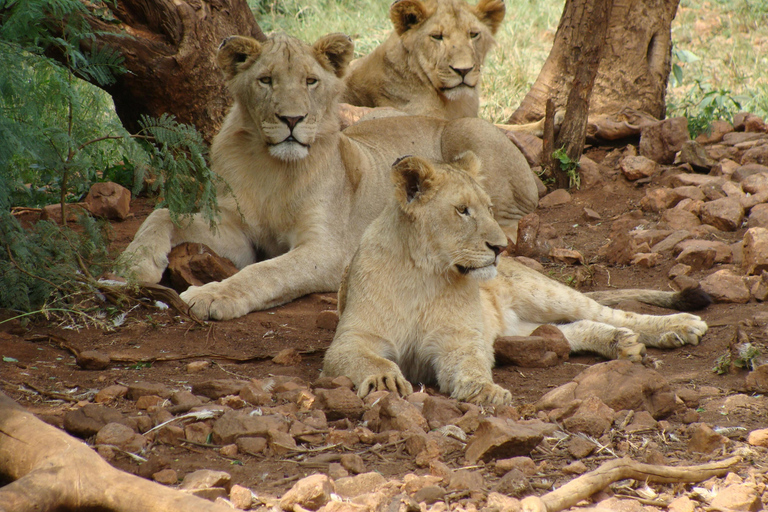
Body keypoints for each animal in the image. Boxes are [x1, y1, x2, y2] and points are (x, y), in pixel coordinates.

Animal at [120, 31, 540, 320]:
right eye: (266, 80)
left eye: (311, 81)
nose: (292, 120)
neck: (272, 168)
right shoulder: (235, 233)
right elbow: (162, 215)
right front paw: (133, 265)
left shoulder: (327, 250)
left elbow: (266, 272)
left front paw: (212, 296)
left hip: (466, 133)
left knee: (513, 222)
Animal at [320, 154, 712, 406]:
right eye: (462, 210)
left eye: (490, 209)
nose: (500, 247)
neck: (425, 273)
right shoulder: (350, 340)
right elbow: (373, 360)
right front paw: (385, 380)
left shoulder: (459, 340)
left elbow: (471, 365)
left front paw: (485, 392)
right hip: (515, 330)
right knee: (568, 331)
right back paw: (620, 342)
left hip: (544, 292)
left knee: (613, 313)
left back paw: (676, 326)